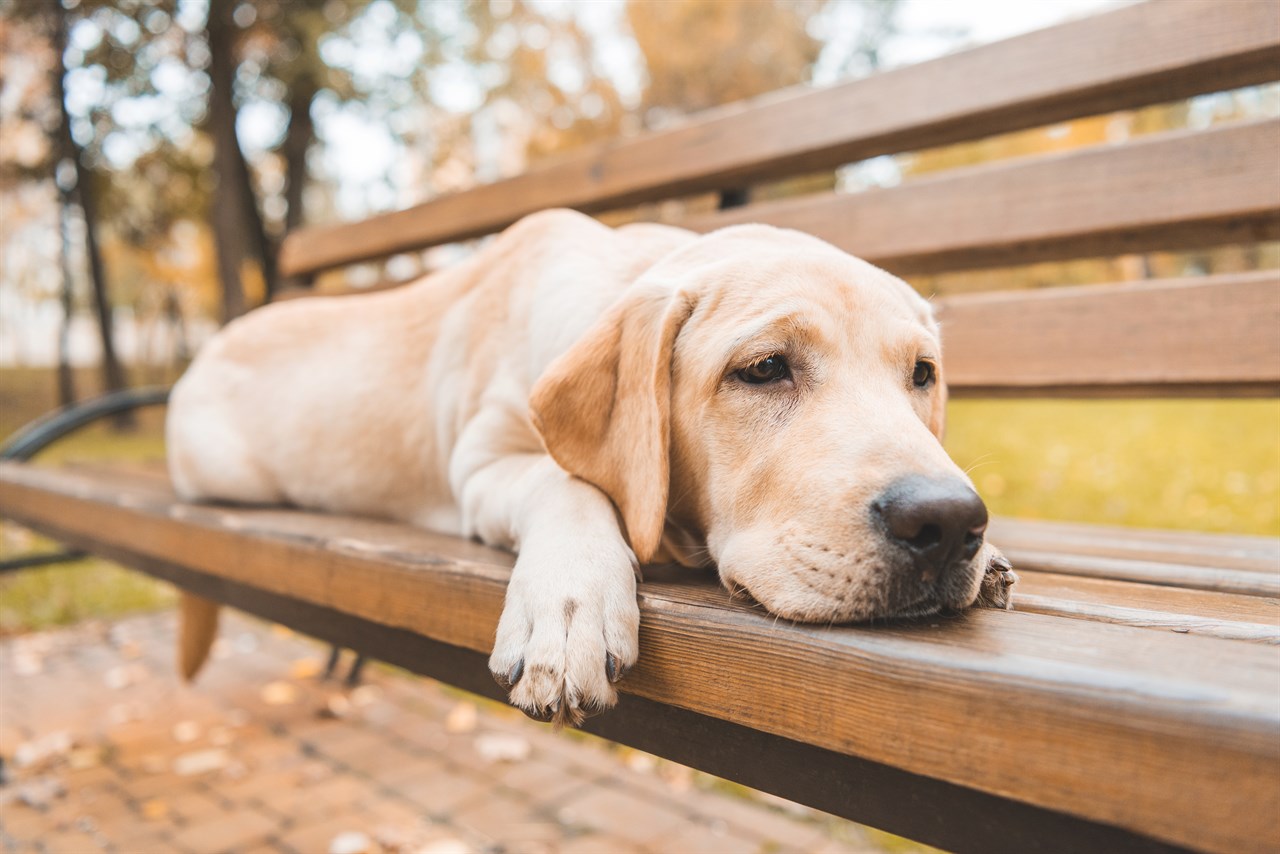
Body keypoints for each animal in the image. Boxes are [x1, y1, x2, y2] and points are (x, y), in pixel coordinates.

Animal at [165, 209, 1013, 727]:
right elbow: (566, 480)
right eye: (765, 368)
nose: (946, 522)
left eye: (922, 375)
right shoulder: (482, 463)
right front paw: (567, 606)